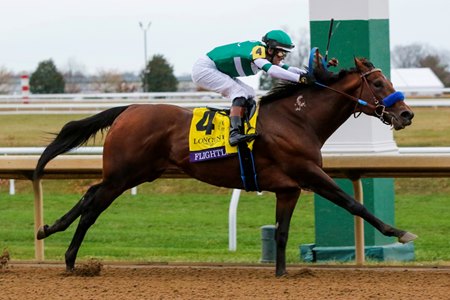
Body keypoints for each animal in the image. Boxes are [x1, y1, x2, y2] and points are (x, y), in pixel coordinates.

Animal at [36, 55, 418, 276]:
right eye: (379, 83)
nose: (406, 114)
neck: (298, 119)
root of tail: (128, 109)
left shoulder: (289, 188)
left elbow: (281, 232)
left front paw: (282, 274)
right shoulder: (309, 173)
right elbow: (353, 203)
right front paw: (400, 232)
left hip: (137, 172)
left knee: (90, 194)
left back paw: (50, 231)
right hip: (123, 174)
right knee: (93, 207)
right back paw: (68, 257)